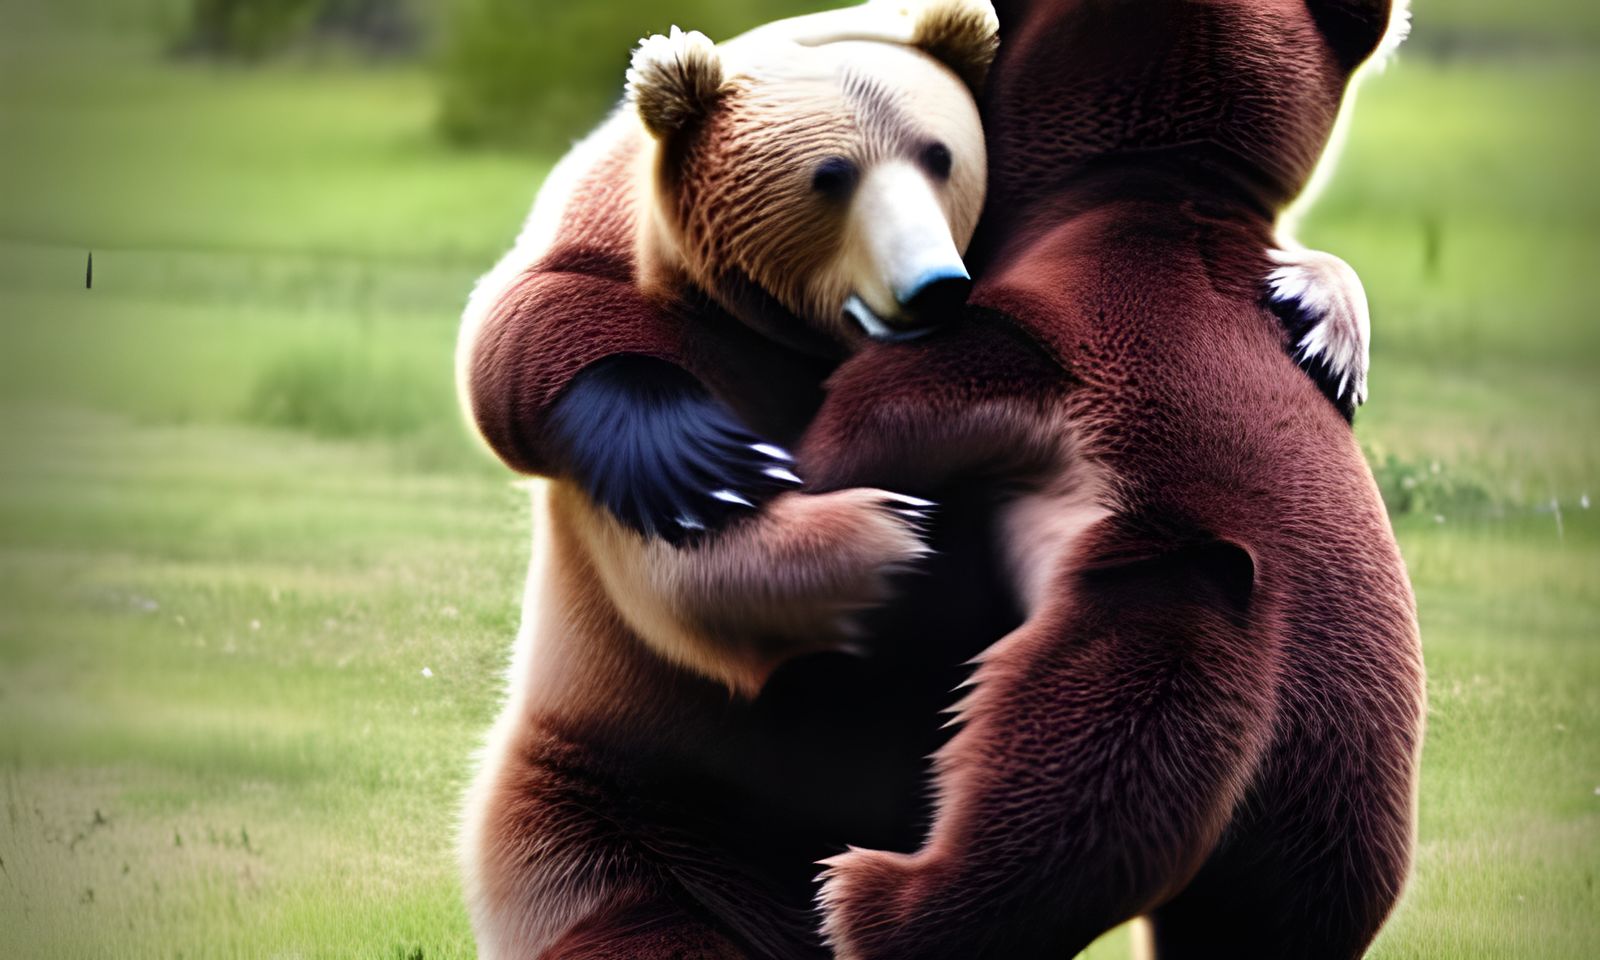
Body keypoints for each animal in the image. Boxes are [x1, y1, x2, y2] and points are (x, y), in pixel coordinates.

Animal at [454, 4, 1006, 957]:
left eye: (940, 155)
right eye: (830, 175)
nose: (932, 287)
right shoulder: (624, 256)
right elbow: (524, 329)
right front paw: (716, 469)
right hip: (615, 809)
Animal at [795, 1, 1426, 957]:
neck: (1150, 187)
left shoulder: (1046, 336)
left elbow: (884, 410)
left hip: (1166, 632)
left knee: (1061, 777)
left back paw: (868, 899)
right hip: (1340, 811)